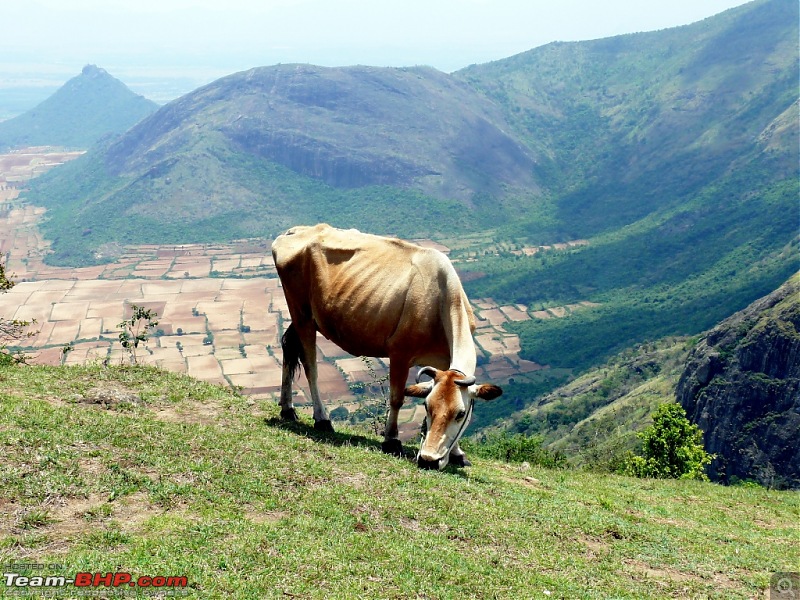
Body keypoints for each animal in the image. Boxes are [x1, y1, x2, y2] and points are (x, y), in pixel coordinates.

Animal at [272, 225, 504, 468]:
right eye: (427, 407)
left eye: (460, 413)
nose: (428, 460)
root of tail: (295, 230)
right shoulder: (400, 352)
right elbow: (397, 398)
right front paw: (391, 441)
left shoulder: (442, 362)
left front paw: (458, 453)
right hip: (302, 314)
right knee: (311, 368)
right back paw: (322, 419)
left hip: (304, 316)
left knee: (288, 346)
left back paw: (287, 409)